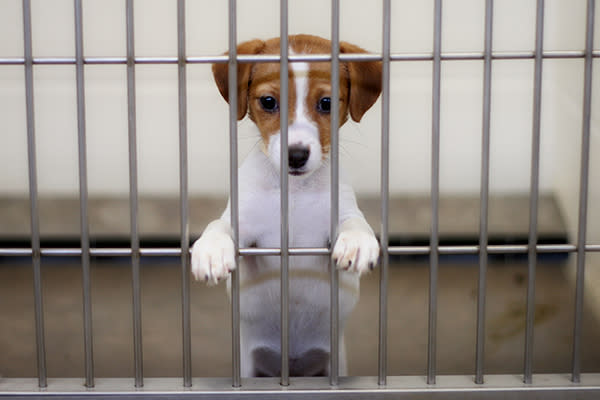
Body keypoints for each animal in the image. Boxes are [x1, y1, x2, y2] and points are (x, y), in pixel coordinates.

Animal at [190, 34, 382, 378]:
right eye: (268, 101)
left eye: (327, 103)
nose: (296, 155)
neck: (294, 191)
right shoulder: (245, 225)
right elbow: (219, 225)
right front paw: (211, 251)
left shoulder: (338, 214)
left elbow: (353, 221)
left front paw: (358, 242)